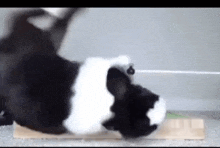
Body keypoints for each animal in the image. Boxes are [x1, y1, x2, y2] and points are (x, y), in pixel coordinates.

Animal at [0, 8, 166, 139]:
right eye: (148, 128)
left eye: (147, 95)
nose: (163, 109)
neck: (110, 103)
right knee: (43, 19)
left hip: (47, 41)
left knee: (56, 22)